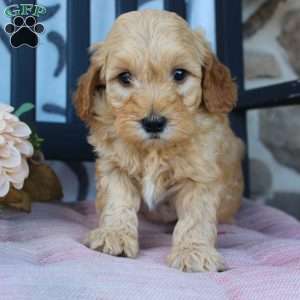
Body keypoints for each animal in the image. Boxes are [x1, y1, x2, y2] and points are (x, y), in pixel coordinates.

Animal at [74, 9, 244, 274]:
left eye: (179, 74)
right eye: (124, 77)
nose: (153, 123)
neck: (154, 149)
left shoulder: (200, 176)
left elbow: (196, 216)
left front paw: (193, 251)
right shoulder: (114, 168)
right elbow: (117, 202)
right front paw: (114, 234)